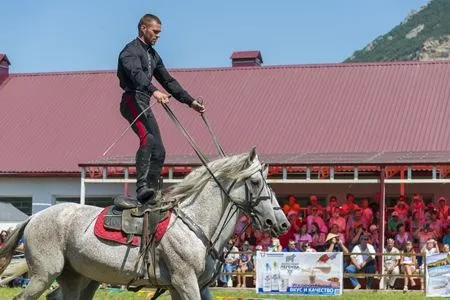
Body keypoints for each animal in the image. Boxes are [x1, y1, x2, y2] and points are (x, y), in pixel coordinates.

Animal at [0, 148, 288, 300]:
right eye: (255, 182)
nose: (282, 223)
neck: (196, 224)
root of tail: (34, 217)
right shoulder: (185, 281)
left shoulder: (193, 286)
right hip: (44, 274)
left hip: (80, 278)